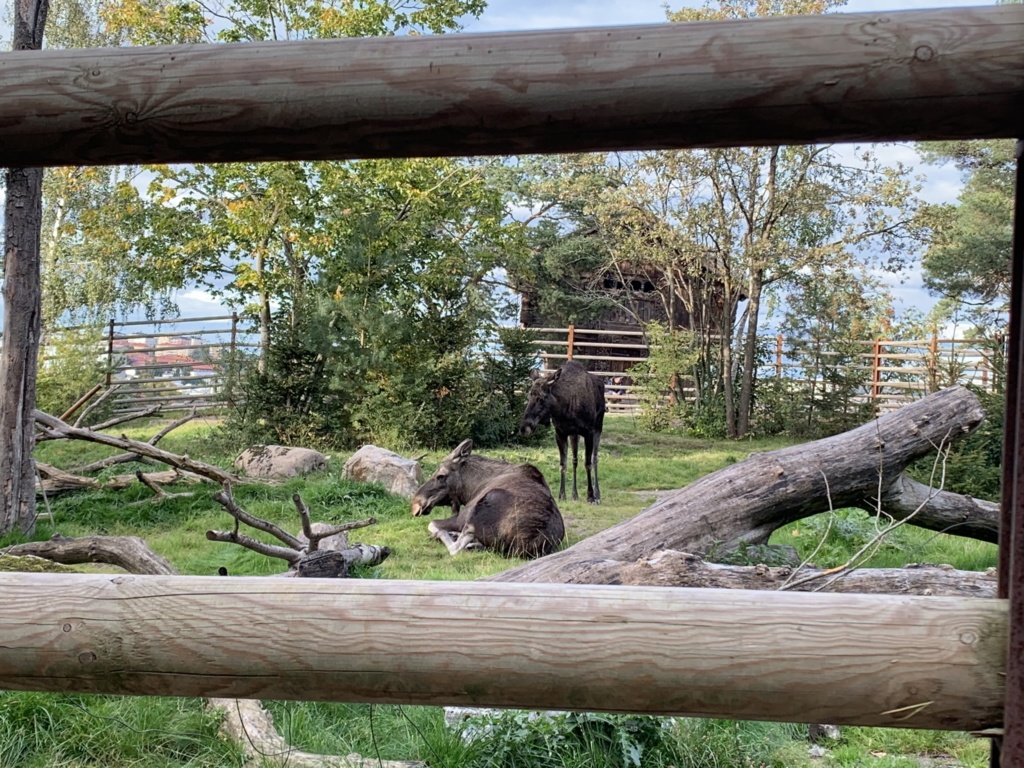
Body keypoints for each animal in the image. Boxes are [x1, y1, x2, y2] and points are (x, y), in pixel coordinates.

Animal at [409, 438, 569, 561]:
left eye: (440, 476)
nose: (415, 503)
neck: (471, 488)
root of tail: (529, 543)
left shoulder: (462, 517)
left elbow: (432, 523)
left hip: (482, 507)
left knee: (456, 548)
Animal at [524, 360, 602, 505]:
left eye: (542, 398)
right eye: (529, 395)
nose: (525, 426)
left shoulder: (588, 432)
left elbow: (588, 463)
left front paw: (590, 496)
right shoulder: (561, 433)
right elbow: (563, 464)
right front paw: (562, 494)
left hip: (598, 427)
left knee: (595, 459)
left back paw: (597, 494)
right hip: (574, 435)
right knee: (575, 460)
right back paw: (575, 494)